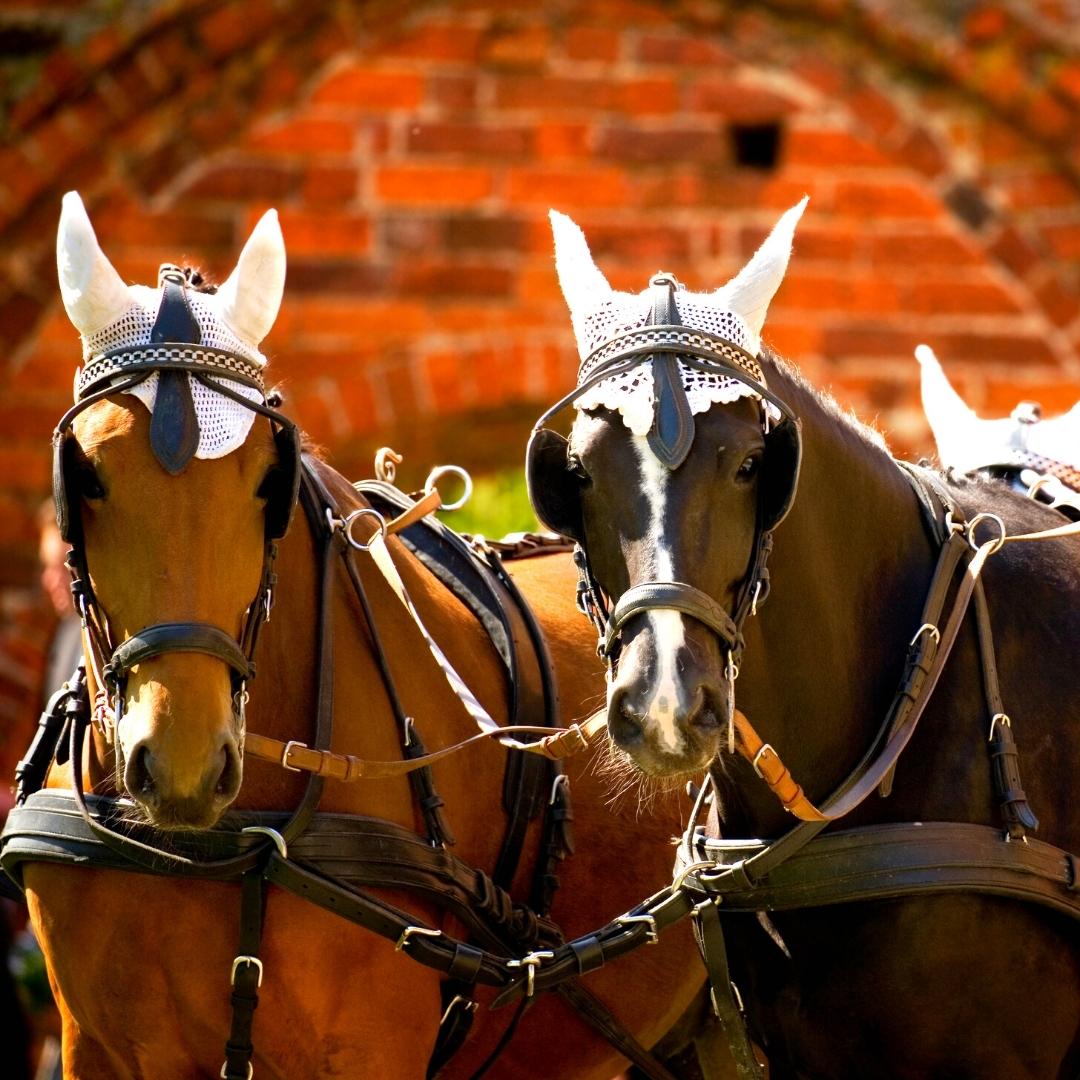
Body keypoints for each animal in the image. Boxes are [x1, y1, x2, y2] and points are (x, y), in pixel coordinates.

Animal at [0, 192, 722, 1080]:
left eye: (268, 480)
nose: (182, 766)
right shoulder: (94, 1046)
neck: (213, 842)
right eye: (87, 472)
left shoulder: (365, 1051)